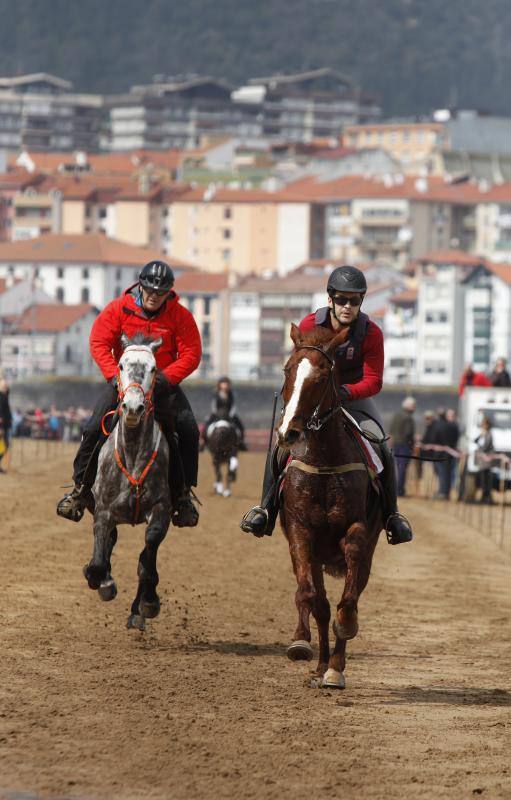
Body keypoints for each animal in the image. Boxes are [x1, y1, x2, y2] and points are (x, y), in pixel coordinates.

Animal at [84, 334, 172, 628]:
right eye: (121, 365)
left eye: (154, 368)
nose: (133, 408)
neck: (133, 452)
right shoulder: (103, 510)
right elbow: (99, 561)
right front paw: (103, 582)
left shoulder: (161, 509)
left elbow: (148, 556)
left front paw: (148, 602)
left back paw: (137, 610)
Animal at [278, 324, 382, 688]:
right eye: (288, 370)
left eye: (322, 378)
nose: (290, 433)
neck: (323, 460)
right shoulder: (300, 532)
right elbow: (311, 597)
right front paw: (304, 647)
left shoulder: (358, 531)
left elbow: (348, 600)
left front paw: (345, 631)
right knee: (317, 602)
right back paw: (321, 663)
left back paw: (334, 666)